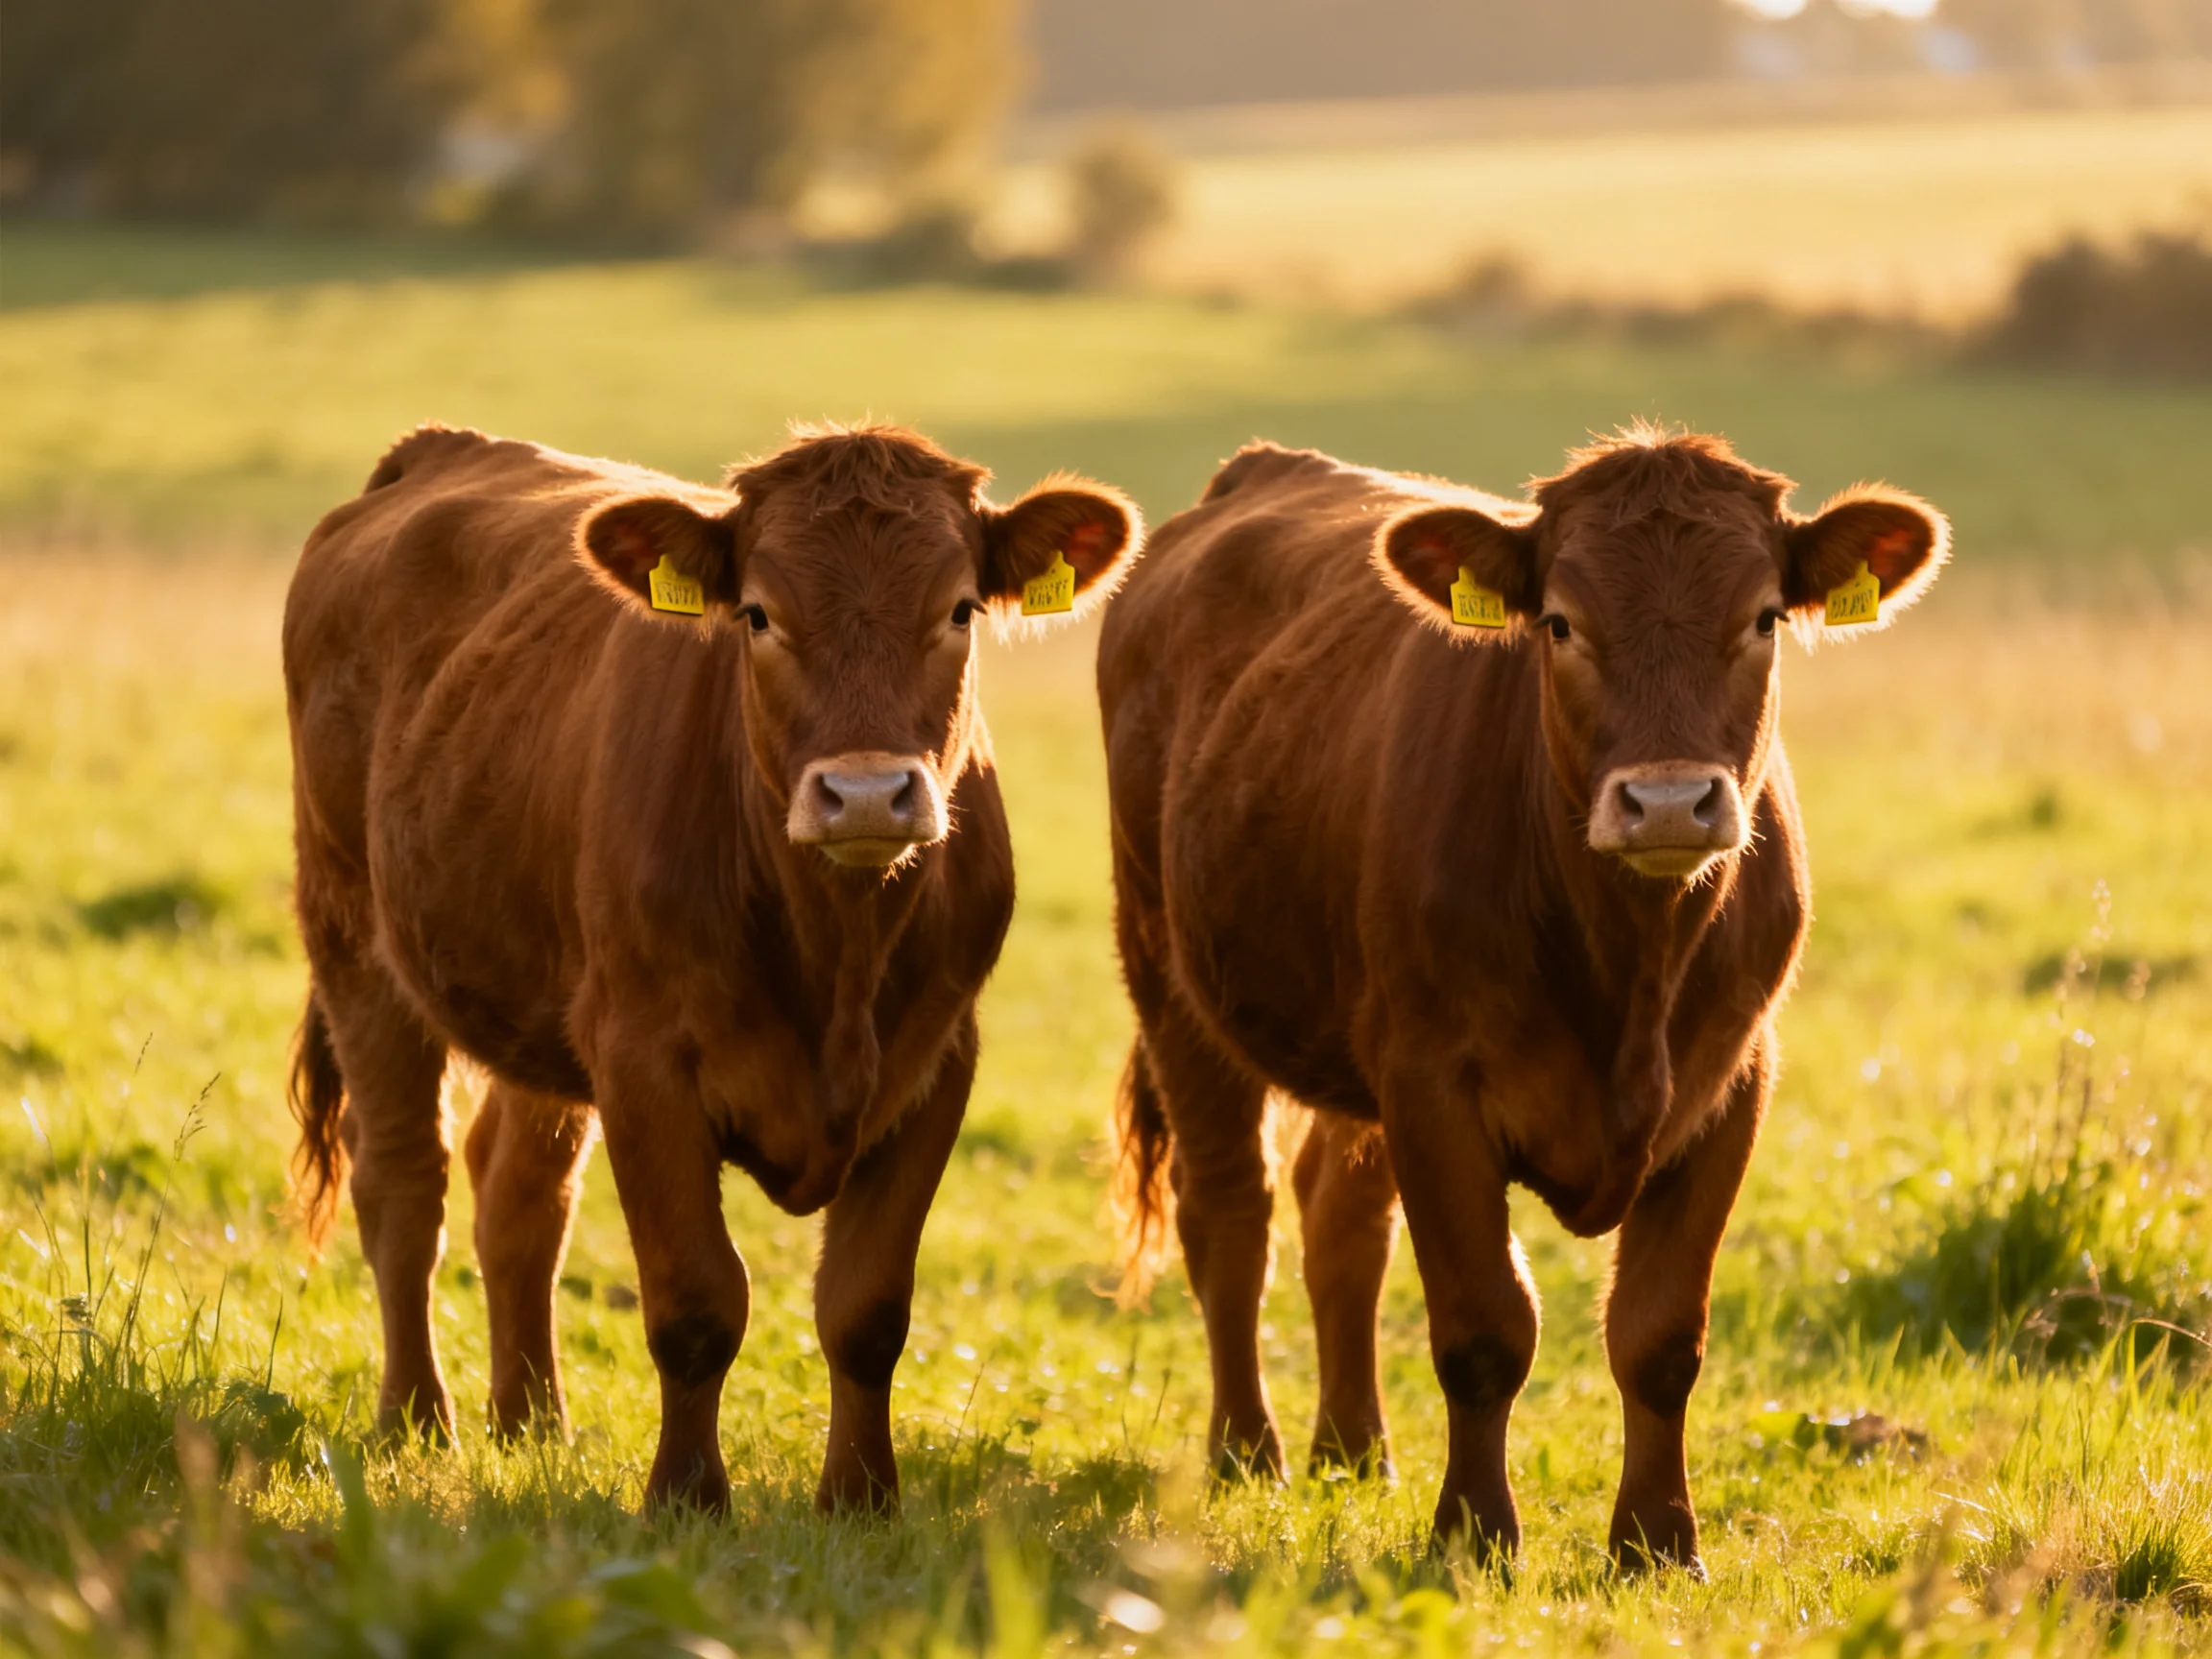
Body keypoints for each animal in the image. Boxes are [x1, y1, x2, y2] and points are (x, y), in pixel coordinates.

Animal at [283, 420, 1139, 1514]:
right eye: (759, 614)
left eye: (958, 608)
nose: (867, 795)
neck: (834, 952)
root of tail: (439, 452)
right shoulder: (644, 1060)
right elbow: (695, 1300)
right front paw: (687, 1497)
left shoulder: (938, 1060)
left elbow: (867, 1308)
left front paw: (861, 1500)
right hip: (353, 932)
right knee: (403, 1179)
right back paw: (416, 1420)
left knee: (517, 1191)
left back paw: (532, 1423)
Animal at [1098, 426, 1947, 1570]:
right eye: (1561, 622)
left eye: (1764, 617)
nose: (1667, 802)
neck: (1628, 967)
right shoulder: (1433, 1084)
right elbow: (1484, 1328)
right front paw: (1472, 1535)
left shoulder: (1732, 1084)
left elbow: (1660, 1334)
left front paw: (1657, 1541)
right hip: (1169, 971)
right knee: (1232, 1212)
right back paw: (1248, 1450)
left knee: (1338, 1218)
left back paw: (1354, 1450)